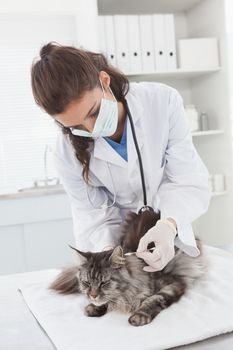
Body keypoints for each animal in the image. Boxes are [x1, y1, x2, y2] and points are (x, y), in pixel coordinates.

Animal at [48, 209, 206, 326]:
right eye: (86, 283)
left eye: (104, 283)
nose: (92, 296)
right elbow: (107, 300)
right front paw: (95, 307)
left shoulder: (174, 283)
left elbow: (154, 299)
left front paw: (139, 316)